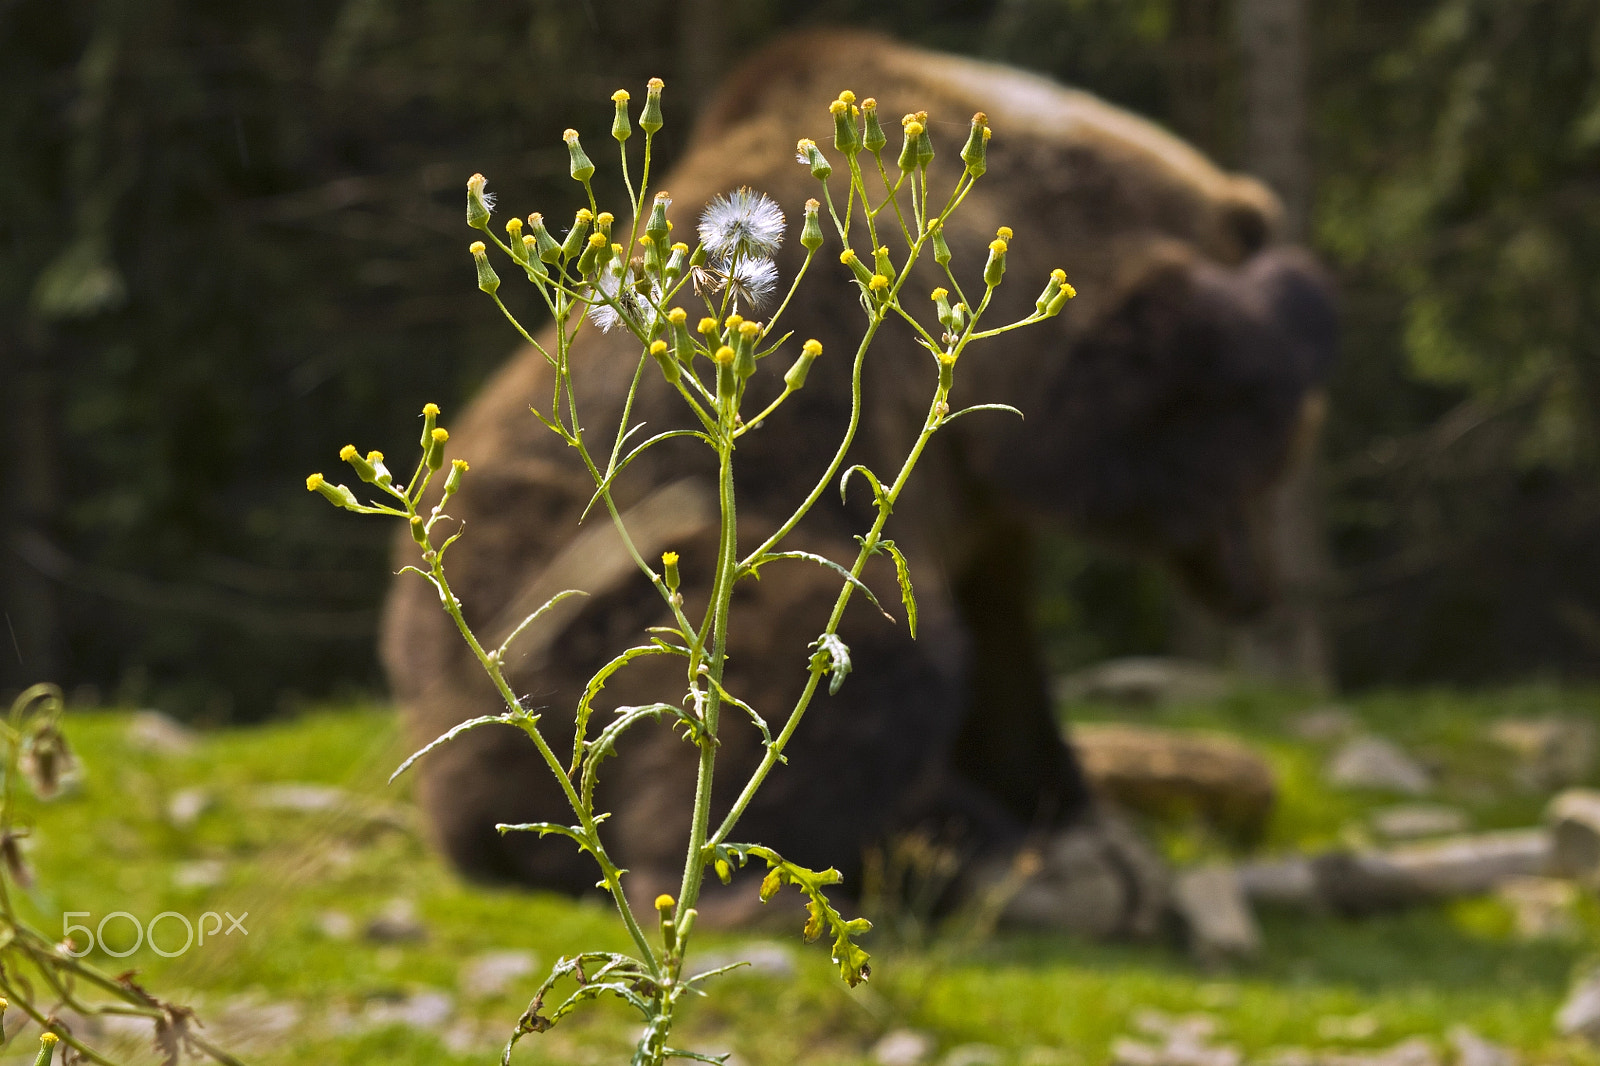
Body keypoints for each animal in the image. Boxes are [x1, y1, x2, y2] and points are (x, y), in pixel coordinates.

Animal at [377, 29, 1337, 934]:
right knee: (845, 658)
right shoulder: (1035, 377)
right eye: (1282, 452)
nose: (1261, 590)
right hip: (597, 618)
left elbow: (1008, 659)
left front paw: (1069, 810)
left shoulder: (975, 508)